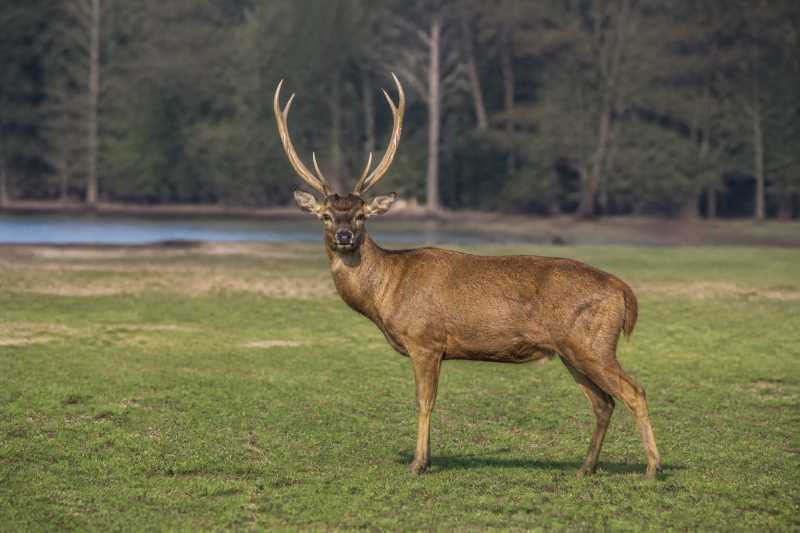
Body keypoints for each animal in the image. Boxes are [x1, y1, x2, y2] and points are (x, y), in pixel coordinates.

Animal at [273, 74, 662, 479]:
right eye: (326, 215)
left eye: (362, 215)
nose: (345, 236)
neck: (387, 292)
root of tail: (624, 291)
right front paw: (425, 458)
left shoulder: (425, 340)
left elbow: (424, 401)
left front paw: (418, 463)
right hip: (572, 350)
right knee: (603, 402)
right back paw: (586, 467)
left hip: (593, 343)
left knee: (634, 391)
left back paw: (652, 467)